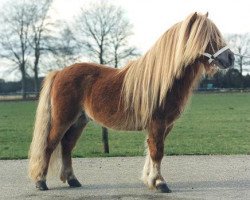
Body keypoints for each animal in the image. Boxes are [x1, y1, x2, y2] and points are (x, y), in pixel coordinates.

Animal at [29, 12, 234, 192]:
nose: (231, 57)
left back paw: (72, 180)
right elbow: (157, 151)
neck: (162, 80)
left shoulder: (166, 125)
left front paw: (151, 180)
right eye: (208, 37)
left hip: (79, 121)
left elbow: (152, 151)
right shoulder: (158, 123)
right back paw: (41, 182)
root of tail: (59, 72)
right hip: (63, 120)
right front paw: (160, 183)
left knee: (67, 146)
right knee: (49, 145)